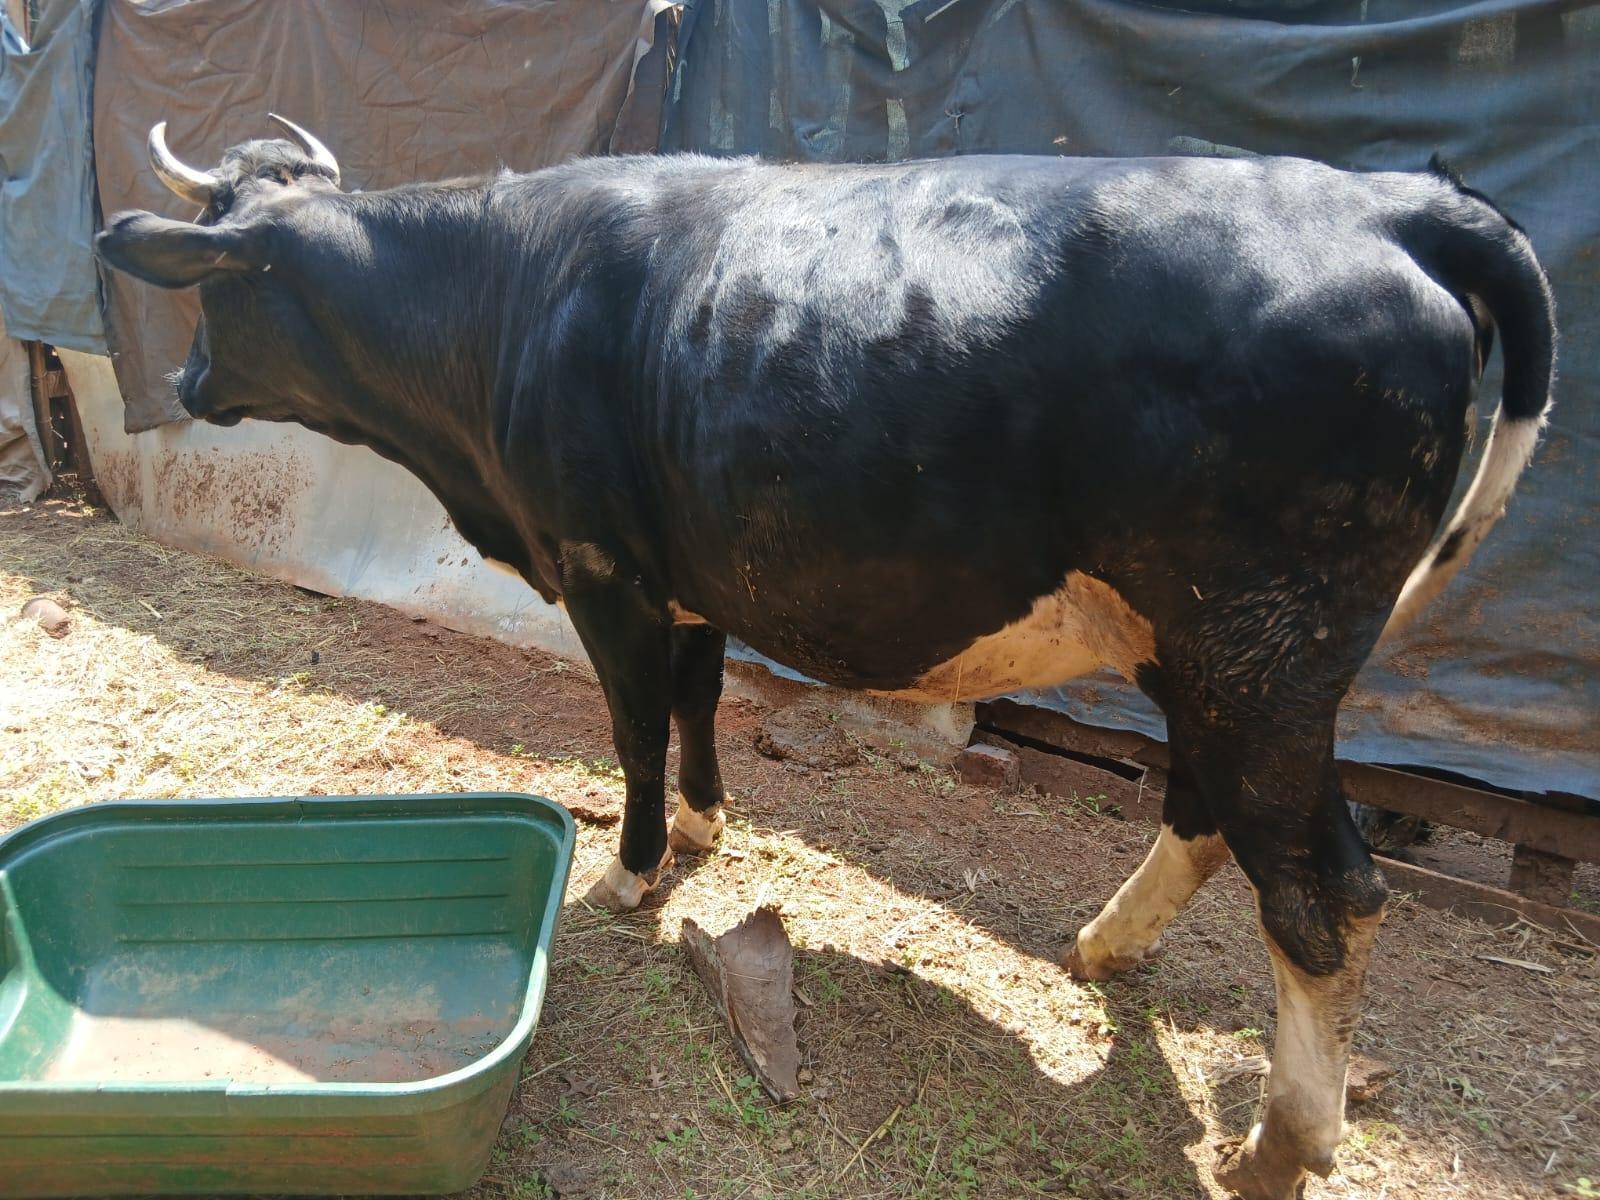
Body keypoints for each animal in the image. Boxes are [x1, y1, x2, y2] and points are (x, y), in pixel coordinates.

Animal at [97, 117, 1555, 1200]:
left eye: (219, 287)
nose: (185, 390)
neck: (505, 302)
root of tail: (1386, 204)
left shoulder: (604, 564)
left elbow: (630, 722)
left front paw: (631, 871)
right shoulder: (685, 569)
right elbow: (696, 702)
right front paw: (703, 827)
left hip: (1260, 641)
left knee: (1324, 889)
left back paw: (1281, 1143)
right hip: (1214, 652)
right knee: (1222, 820)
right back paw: (1104, 950)